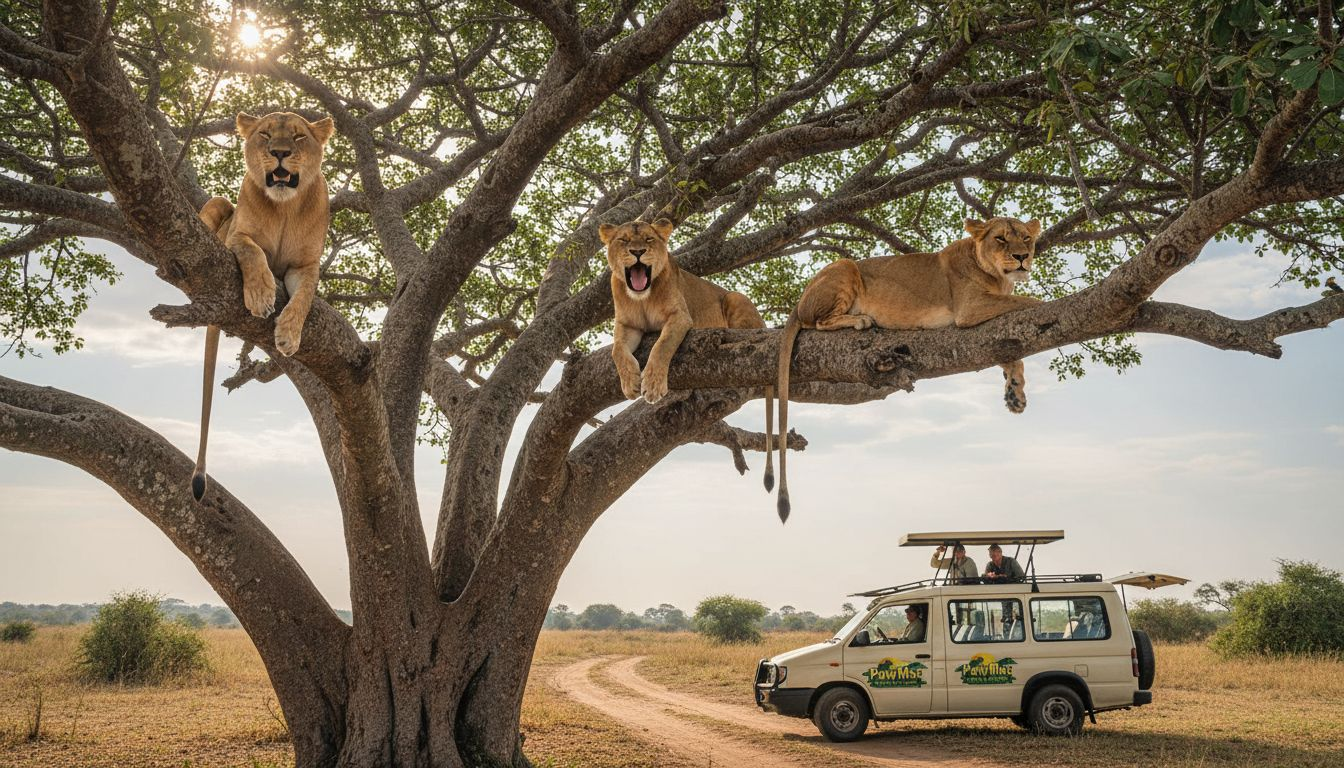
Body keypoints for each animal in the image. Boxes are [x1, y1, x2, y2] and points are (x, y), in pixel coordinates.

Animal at [191, 111, 334, 501]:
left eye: (298, 137)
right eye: (266, 134)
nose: (280, 152)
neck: (285, 206)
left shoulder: (305, 266)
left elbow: (304, 297)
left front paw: (288, 336)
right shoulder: (236, 236)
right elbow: (252, 251)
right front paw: (260, 295)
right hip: (219, 204)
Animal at [600, 217, 772, 424]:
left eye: (649, 239)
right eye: (623, 240)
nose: (638, 252)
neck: (642, 298)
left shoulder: (679, 316)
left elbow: (662, 346)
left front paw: (653, 386)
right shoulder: (627, 325)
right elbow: (617, 350)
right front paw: (630, 383)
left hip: (735, 297)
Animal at [767, 216, 1043, 521]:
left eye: (1026, 238)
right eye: (1001, 239)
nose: (1022, 257)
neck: (1000, 279)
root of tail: (799, 302)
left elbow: (1007, 351)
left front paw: (1015, 393)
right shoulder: (970, 308)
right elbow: (1032, 302)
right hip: (846, 266)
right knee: (819, 322)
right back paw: (861, 319)